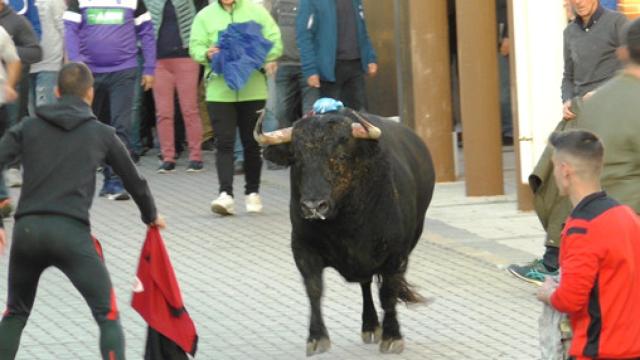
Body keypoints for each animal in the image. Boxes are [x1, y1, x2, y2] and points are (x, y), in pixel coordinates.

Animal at [260, 110, 436, 358]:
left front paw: (392, 336)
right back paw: (370, 325)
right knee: (365, 284)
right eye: (297, 159)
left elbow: (388, 293)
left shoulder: (395, 255)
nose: (314, 206)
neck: (345, 226)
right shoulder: (303, 248)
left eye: (341, 156)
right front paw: (316, 337)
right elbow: (314, 289)